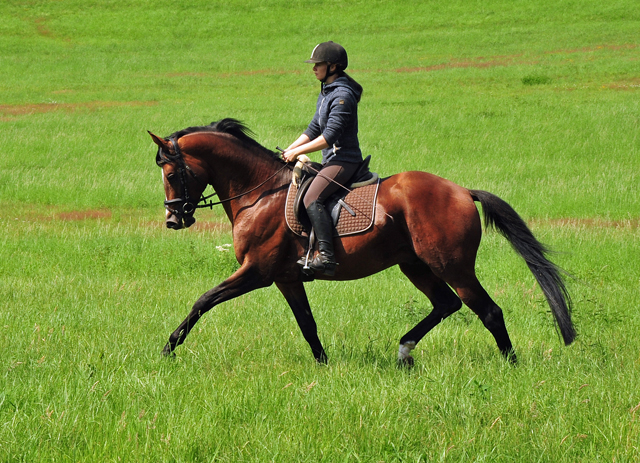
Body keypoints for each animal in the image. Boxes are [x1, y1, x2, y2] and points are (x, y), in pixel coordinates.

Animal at [149, 118, 576, 366]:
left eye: (170, 173)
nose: (173, 219)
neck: (260, 193)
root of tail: (460, 191)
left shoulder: (256, 271)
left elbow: (203, 300)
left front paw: (168, 348)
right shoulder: (287, 278)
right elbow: (307, 324)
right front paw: (323, 366)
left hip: (451, 265)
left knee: (487, 310)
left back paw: (511, 365)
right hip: (414, 264)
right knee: (446, 304)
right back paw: (404, 351)